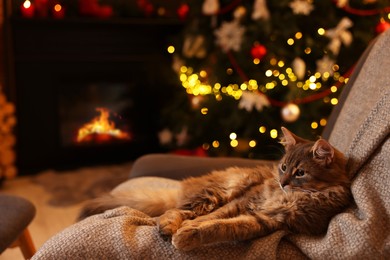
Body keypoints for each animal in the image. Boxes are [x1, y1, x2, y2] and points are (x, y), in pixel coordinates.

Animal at [78, 127, 350, 251]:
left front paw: (189, 235)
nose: (283, 183)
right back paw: (168, 227)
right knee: (175, 211)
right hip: (218, 192)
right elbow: (213, 218)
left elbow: (221, 227)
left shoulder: (267, 220)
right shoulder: (245, 200)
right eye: (283, 167)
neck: (288, 198)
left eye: (300, 173)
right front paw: (186, 229)